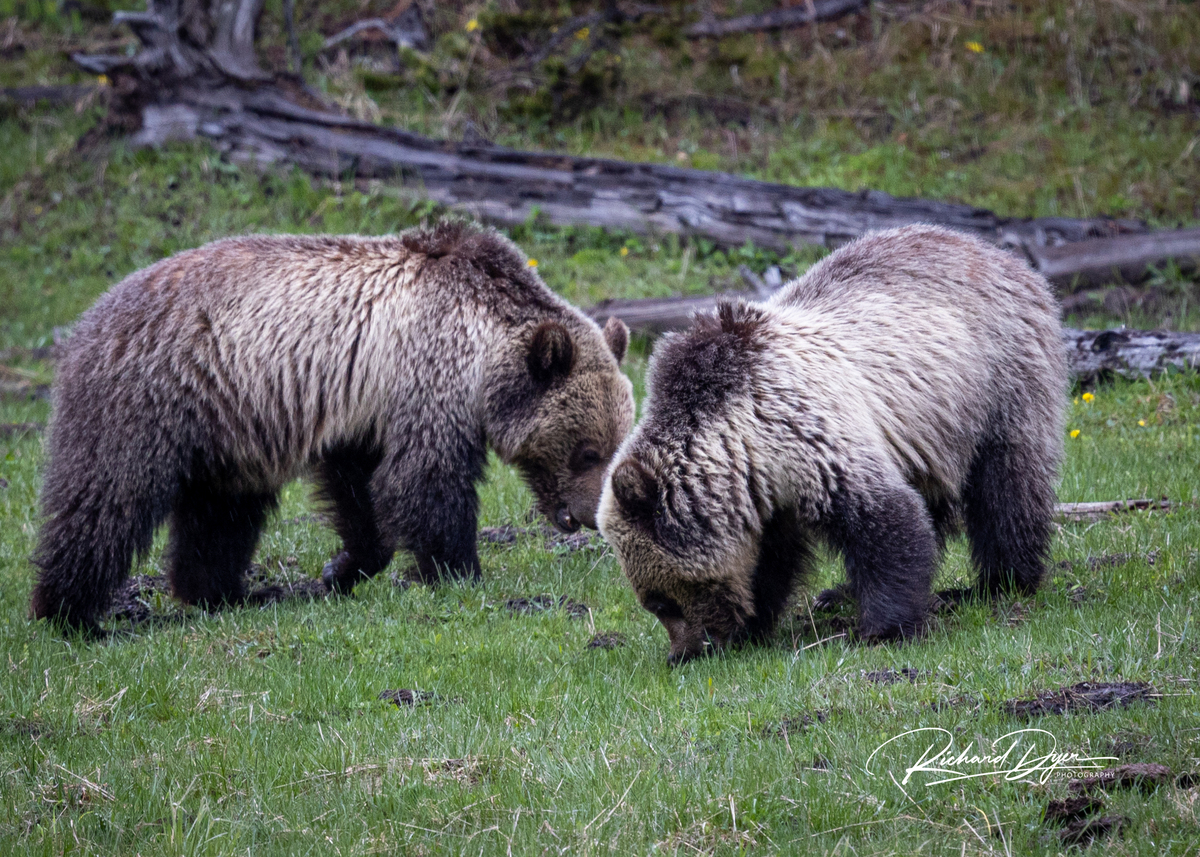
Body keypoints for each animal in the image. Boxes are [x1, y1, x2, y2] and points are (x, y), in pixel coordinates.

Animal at [30, 220, 634, 632]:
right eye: (585, 450)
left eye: (612, 445)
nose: (588, 516)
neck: (484, 345)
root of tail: (87, 320)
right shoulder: (426, 372)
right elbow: (424, 480)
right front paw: (457, 569)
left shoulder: (364, 408)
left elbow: (359, 491)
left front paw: (341, 569)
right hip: (148, 399)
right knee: (107, 499)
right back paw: (74, 613)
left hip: (225, 428)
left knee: (220, 513)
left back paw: (227, 593)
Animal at [598, 225, 1067, 664]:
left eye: (661, 601)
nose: (684, 652)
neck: (741, 442)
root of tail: (1002, 255)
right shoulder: (768, 495)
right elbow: (772, 560)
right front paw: (755, 623)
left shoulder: (805, 430)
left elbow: (883, 521)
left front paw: (884, 628)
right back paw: (840, 593)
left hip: (998, 381)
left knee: (1007, 486)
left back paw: (1000, 582)